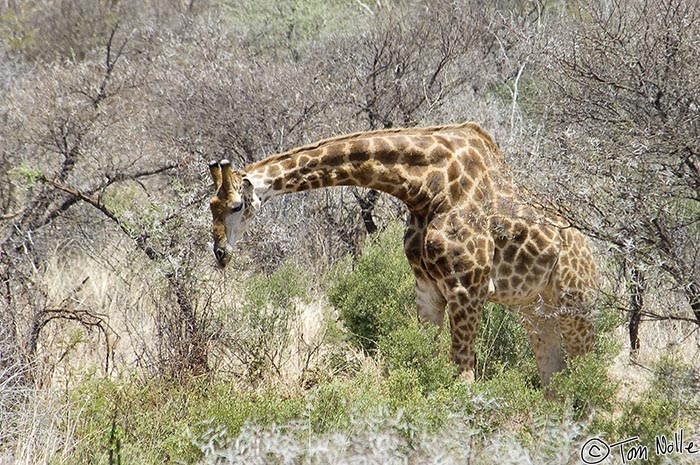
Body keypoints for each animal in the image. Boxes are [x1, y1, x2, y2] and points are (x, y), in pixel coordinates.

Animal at [208, 121, 596, 386]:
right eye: (210, 206)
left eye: (237, 205)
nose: (220, 253)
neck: (425, 189)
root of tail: (593, 256)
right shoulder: (427, 287)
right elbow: (421, 362)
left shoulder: (467, 289)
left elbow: (464, 377)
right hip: (536, 313)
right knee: (554, 383)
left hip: (575, 306)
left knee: (588, 378)